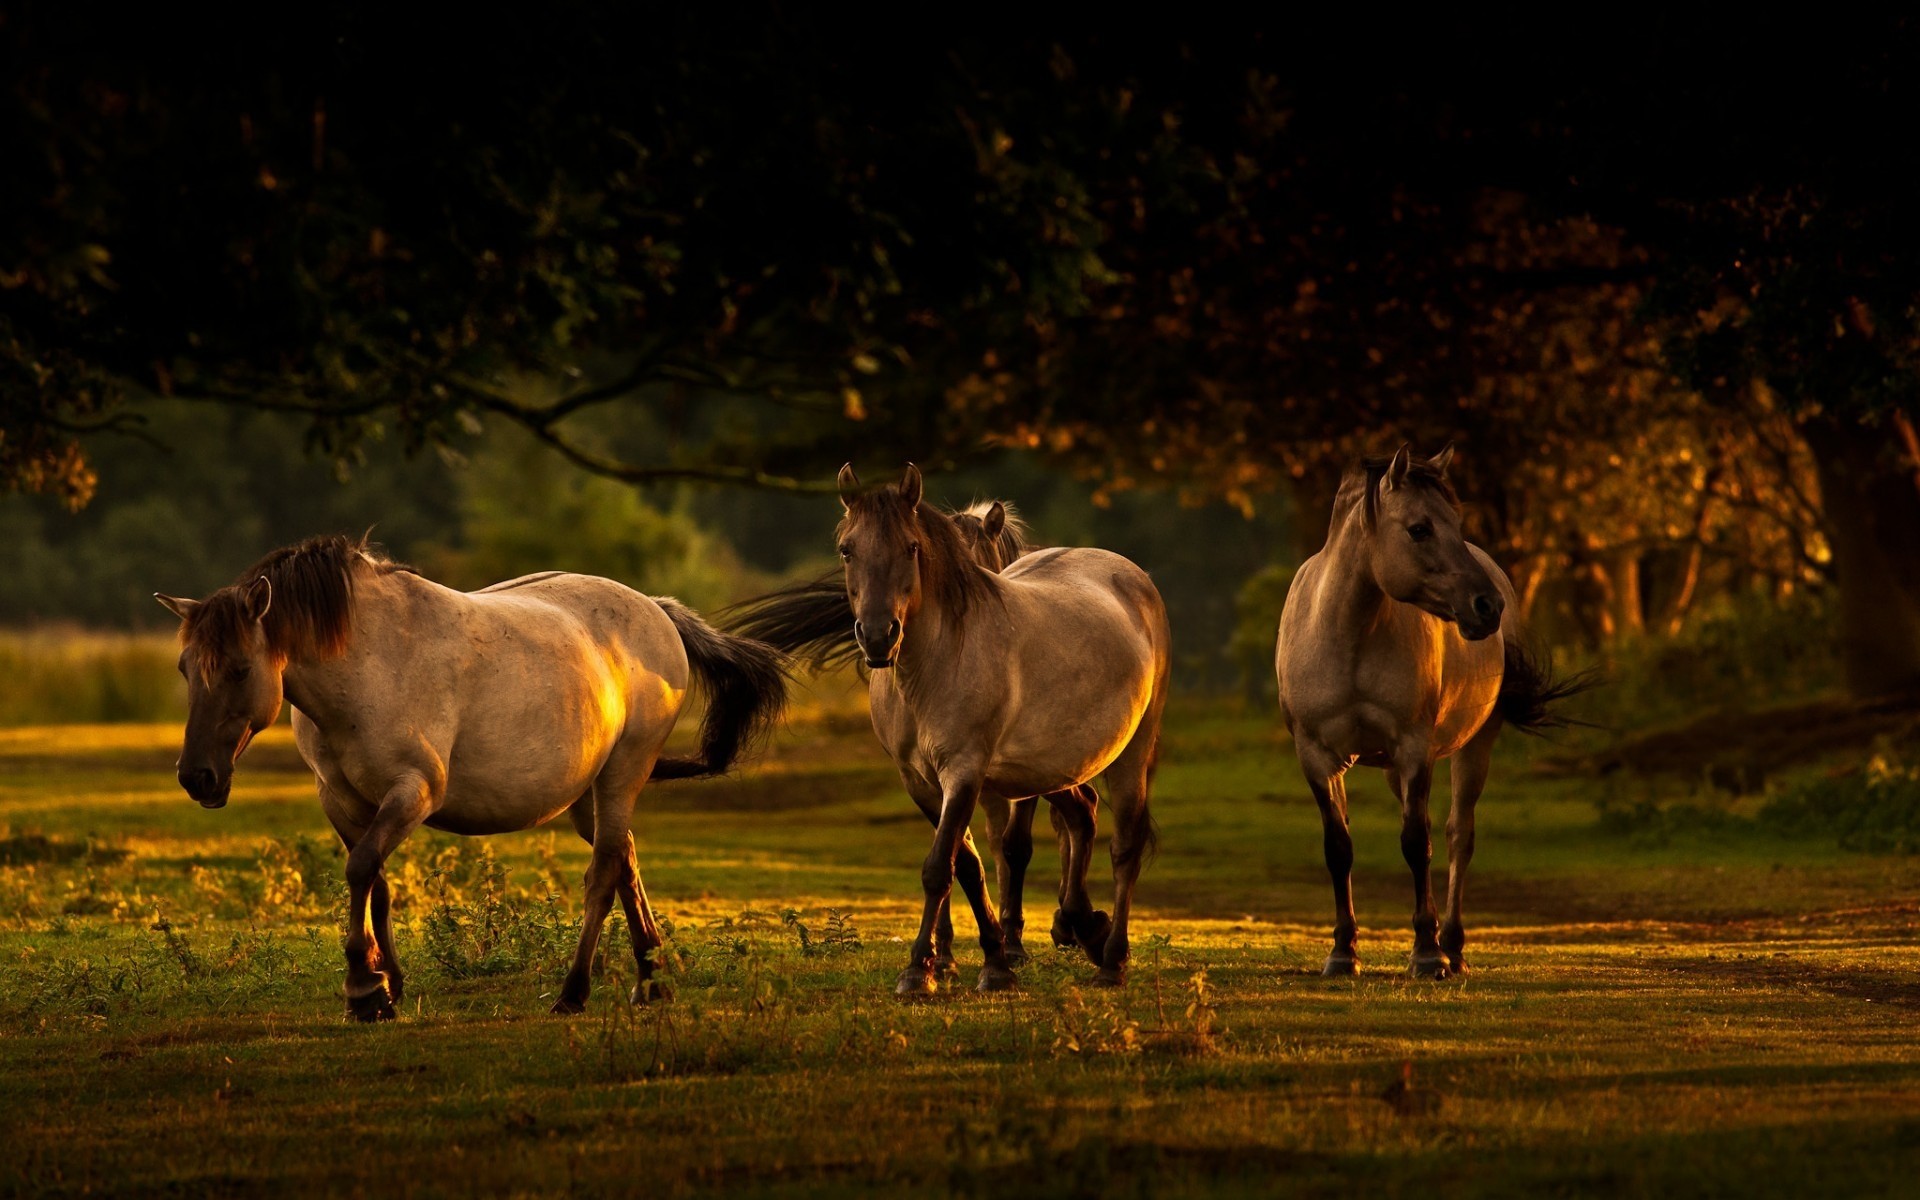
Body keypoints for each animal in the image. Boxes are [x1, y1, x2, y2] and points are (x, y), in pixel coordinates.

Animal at [155, 537, 787, 1013]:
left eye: (240, 669)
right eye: (184, 668)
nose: (197, 777)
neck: (369, 664)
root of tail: (656, 611)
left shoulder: (413, 792)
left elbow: (361, 870)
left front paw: (364, 989)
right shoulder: (343, 802)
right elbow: (376, 882)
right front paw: (390, 987)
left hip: (622, 776)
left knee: (604, 875)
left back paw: (574, 992)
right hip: (589, 796)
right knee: (625, 860)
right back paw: (650, 982)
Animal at [725, 468, 1159, 990]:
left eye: (912, 547)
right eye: (847, 549)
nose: (878, 637)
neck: (931, 668)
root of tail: (1131, 576)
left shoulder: (966, 771)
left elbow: (950, 863)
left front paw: (923, 970)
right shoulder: (921, 781)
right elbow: (964, 864)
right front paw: (980, 960)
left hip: (1131, 751)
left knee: (1124, 846)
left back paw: (1111, 960)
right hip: (1056, 766)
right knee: (1083, 815)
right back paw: (1085, 928)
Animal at [1282, 445, 1582, 979]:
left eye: (1456, 521)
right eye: (1419, 528)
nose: (1487, 606)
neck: (1346, 638)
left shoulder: (1413, 749)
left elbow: (1416, 842)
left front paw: (1426, 951)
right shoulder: (1316, 756)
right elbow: (1339, 848)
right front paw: (1342, 952)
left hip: (1474, 748)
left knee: (1458, 835)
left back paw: (1452, 946)